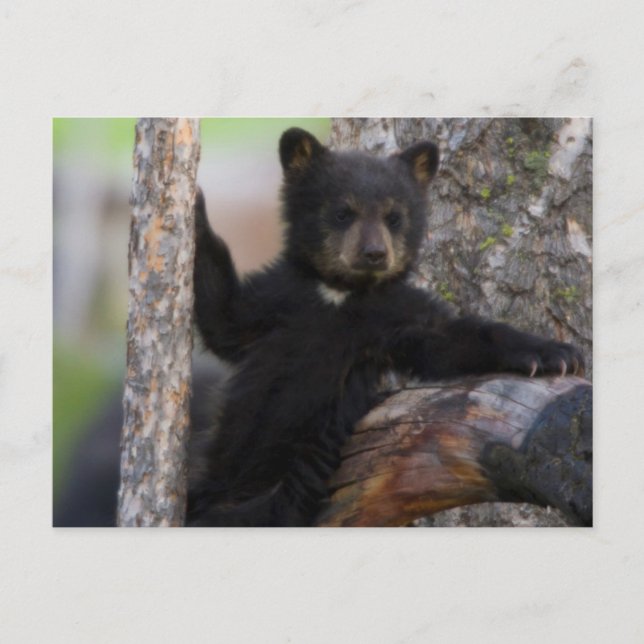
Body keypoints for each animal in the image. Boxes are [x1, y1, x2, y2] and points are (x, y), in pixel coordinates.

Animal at [187, 127, 584, 527]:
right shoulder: (279, 299)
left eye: (394, 217)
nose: (375, 253)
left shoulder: (395, 315)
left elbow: (448, 339)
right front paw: (195, 207)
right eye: (343, 213)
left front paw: (552, 353)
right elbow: (224, 317)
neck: (341, 293)